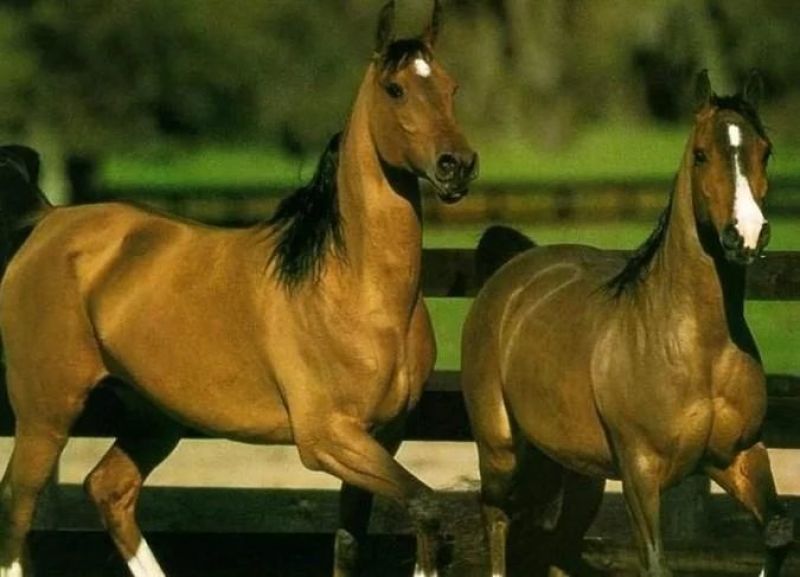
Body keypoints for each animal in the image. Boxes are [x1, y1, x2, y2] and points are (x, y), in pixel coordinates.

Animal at [0, 1, 478, 576]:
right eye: (396, 89)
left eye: (451, 87)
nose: (457, 166)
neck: (355, 293)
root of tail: (48, 222)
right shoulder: (327, 438)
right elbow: (428, 509)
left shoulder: (385, 434)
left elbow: (352, 541)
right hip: (46, 413)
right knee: (17, 508)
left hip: (154, 416)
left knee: (108, 488)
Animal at [461, 71, 793, 577]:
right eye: (701, 154)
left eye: (766, 150)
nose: (747, 234)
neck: (696, 346)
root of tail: (511, 271)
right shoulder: (640, 469)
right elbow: (655, 562)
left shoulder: (738, 453)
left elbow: (777, 532)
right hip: (501, 450)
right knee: (497, 515)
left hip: (576, 471)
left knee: (551, 546)